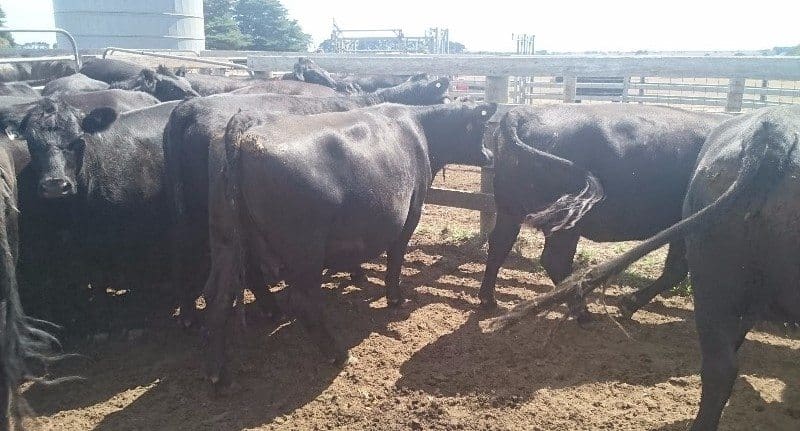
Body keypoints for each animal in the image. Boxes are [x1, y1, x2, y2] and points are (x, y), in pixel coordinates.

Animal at [202, 101, 494, 384]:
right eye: (481, 128)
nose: (490, 155)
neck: (419, 127)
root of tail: (244, 136)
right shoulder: (411, 213)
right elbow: (396, 258)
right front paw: (395, 298)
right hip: (305, 251)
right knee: (303, 302)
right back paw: (339, 355)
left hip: (225, 242)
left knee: (218, 300)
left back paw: (217, 371)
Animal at [478, 104, 728, 320]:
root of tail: (522, 113)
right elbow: (676, 271)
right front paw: (628, 303)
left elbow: (675, 270)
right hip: (566, 223)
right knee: (554, 260)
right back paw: (582, 312)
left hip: (510, 211)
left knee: (500, 244)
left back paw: (488, 299)